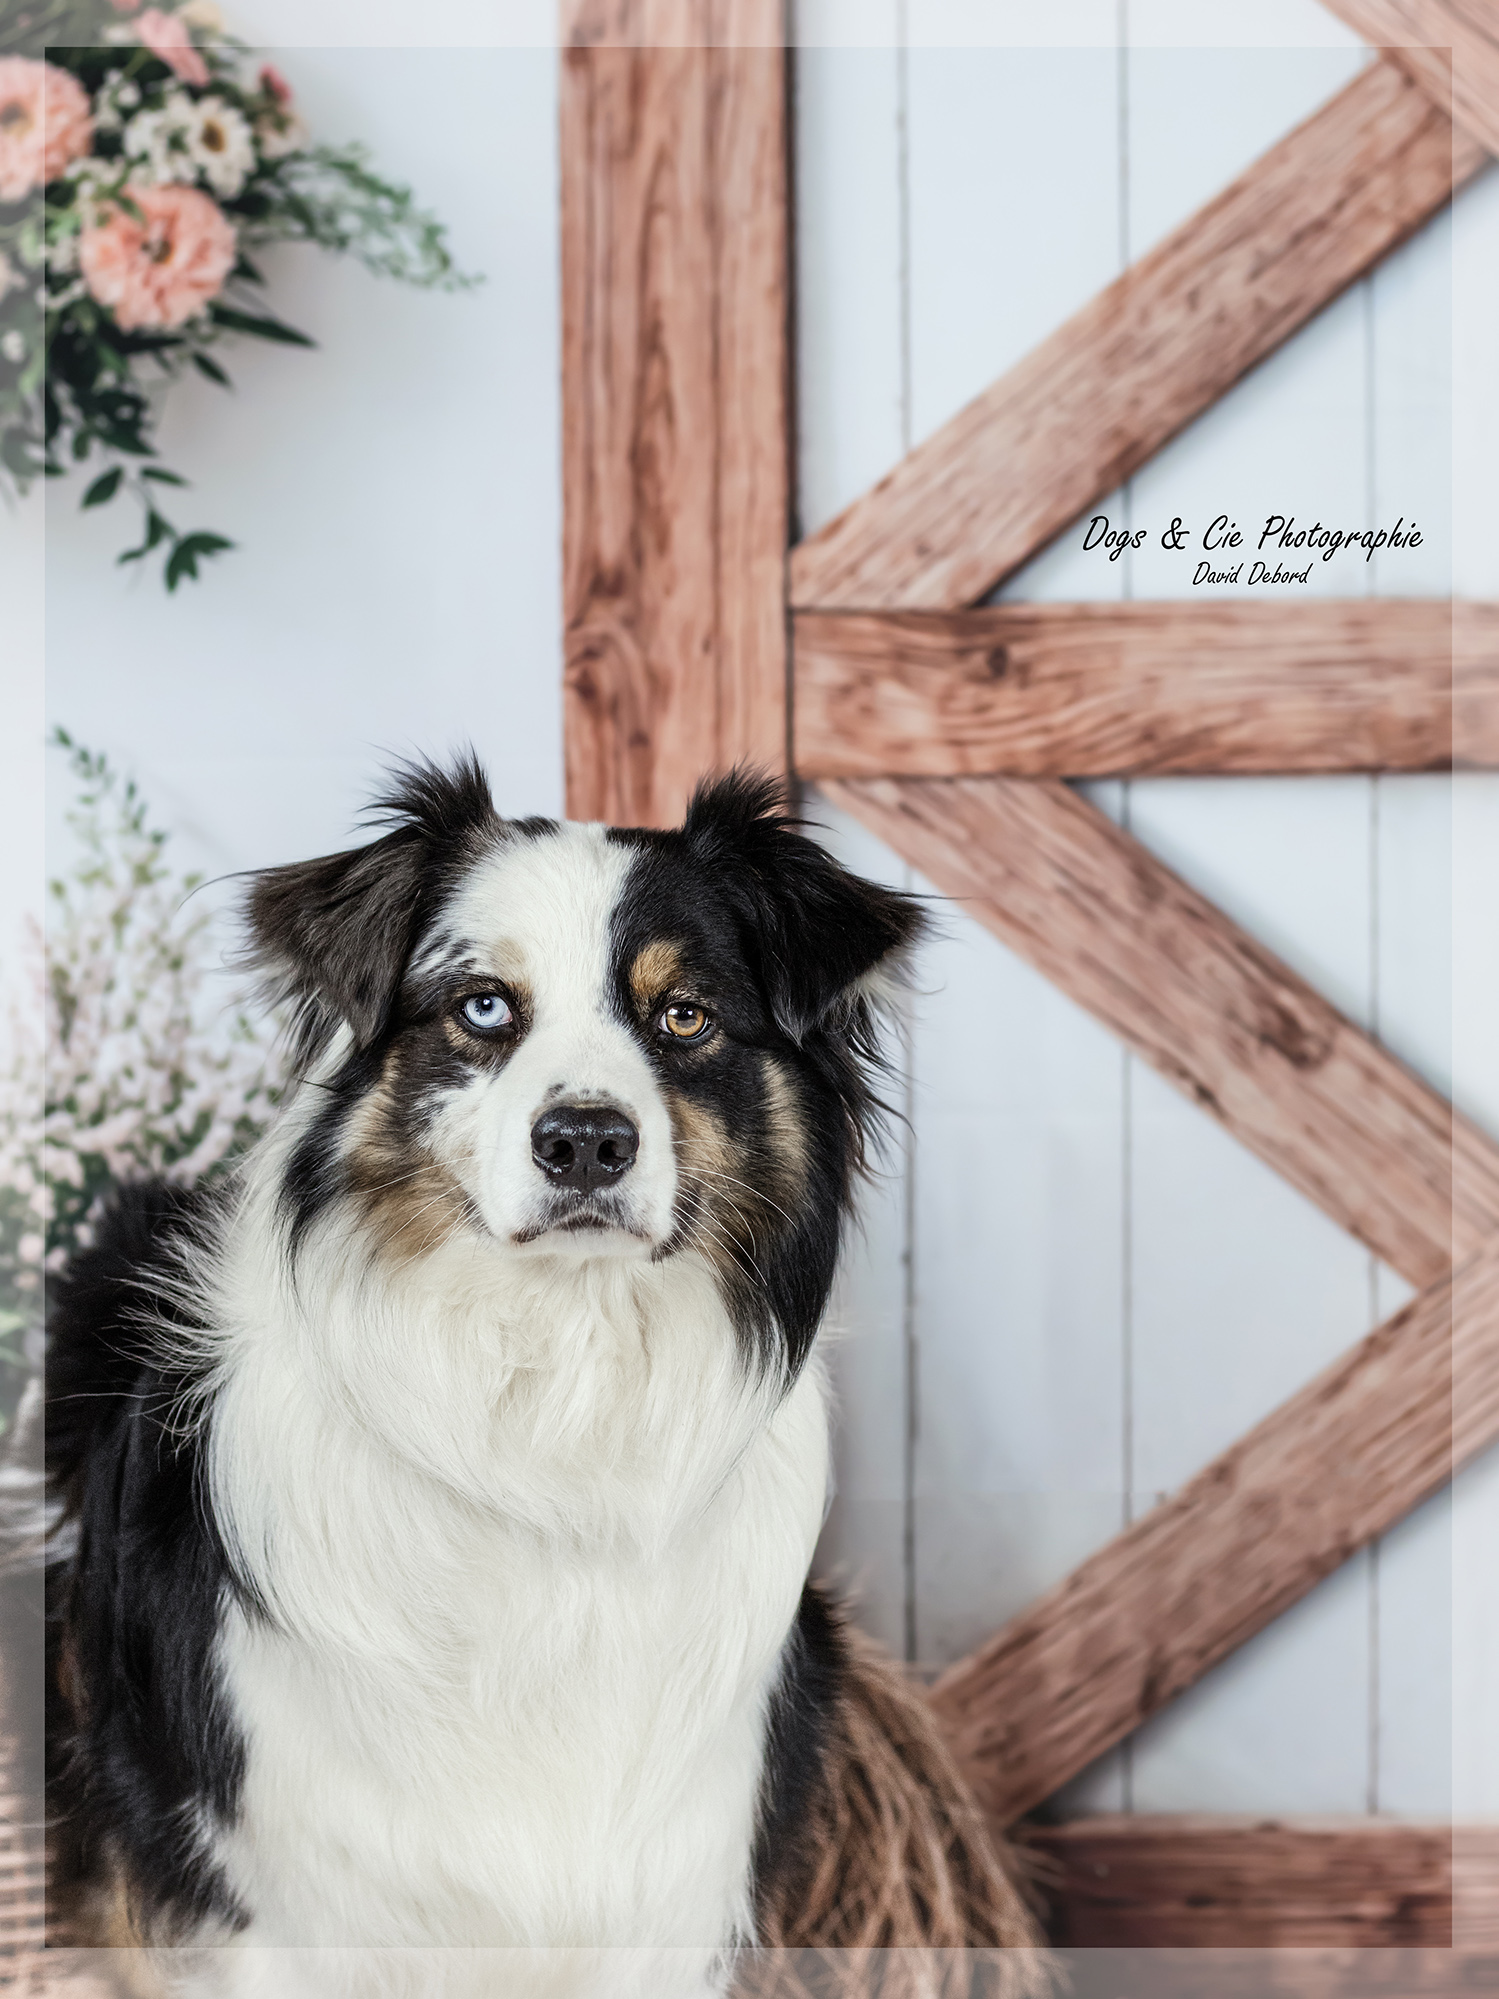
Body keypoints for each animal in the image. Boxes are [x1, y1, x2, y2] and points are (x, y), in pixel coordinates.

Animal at [44, 759, 938, 1996]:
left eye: (683, 1014)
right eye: (482, 1007)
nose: (585, 1141)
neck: (548, 1393)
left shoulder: (666, 1880)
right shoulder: (280, 1892)